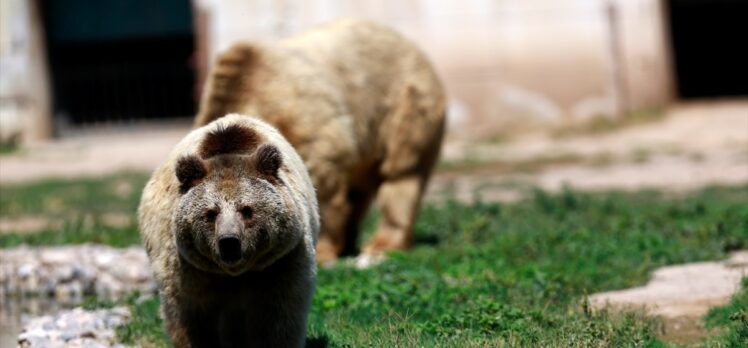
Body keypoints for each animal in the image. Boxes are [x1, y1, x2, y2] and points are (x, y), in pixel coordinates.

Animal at [139, 115, 320, 348]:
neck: (234, 272)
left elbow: (278, 316)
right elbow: (190, 316)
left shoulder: (281, 259)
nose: (229, 241)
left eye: (247, 210)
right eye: (210, 213)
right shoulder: (187, 266)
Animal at [196, 18, 448, 264]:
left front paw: (320, 251)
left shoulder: (306, 117)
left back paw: (381, 246)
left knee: (402, 173)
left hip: (404, 103)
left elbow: (320, 179)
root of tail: (412, 45)